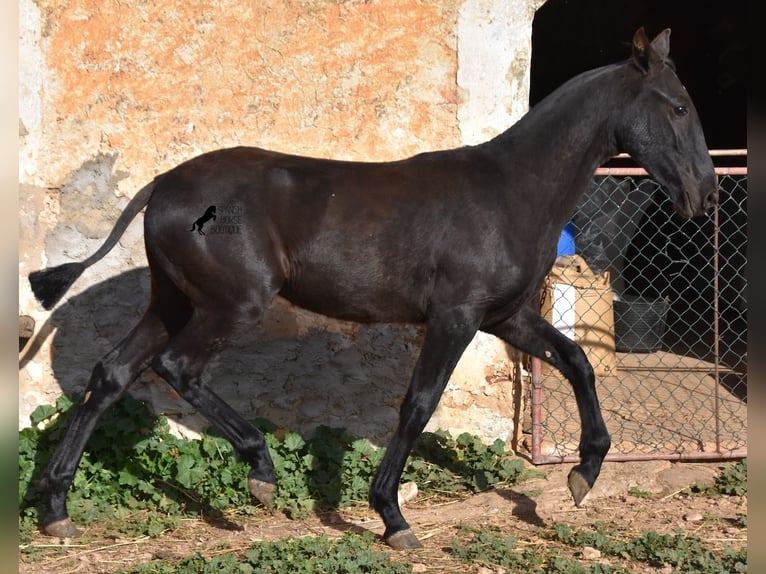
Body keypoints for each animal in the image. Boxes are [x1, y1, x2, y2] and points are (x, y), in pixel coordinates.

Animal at [25, 29, 720, 552]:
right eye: (678, 107)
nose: (705, 194)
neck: (511, 191)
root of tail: (161, 187)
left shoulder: (505, 317)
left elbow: (577, 361)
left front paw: (584, 471)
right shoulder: (455, 317)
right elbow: (419, 404)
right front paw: (391, 516)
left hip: (172, 303)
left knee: (111, 375)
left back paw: (57, 509)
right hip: (232, 305)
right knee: (176, 367)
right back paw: (260, 471)